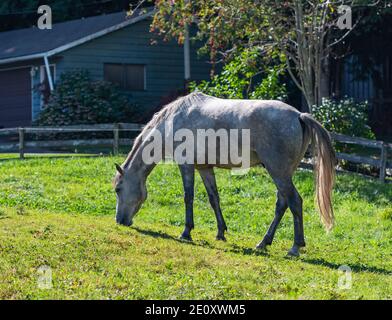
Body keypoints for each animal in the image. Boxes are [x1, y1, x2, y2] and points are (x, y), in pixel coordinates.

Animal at [112, 91, 336, 256]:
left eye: (118, 189)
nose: (120, 220)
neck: (172, 121)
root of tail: (298, 115)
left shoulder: (186, 166)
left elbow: (188, 197)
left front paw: (186, 232)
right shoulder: (204, 168)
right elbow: (214, 198)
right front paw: (220, 232)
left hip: (279, 172)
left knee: (295, 202)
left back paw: (295, 247)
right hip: (282, 173)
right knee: (282, 204)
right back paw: (263, 242)